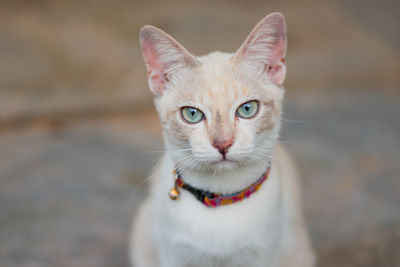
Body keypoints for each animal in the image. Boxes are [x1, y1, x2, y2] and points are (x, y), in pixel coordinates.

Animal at [130, 12, 314, 267]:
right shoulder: (173, 255)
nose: (223, 144)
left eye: (247, 109)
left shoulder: (263, 256)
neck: (221, 200)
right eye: (192, 114)